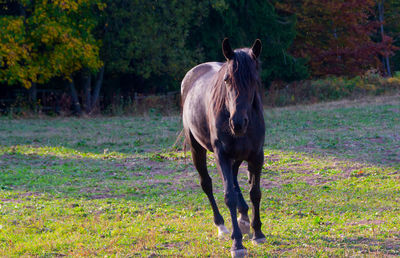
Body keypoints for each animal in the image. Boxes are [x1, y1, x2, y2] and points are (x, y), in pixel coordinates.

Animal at [181, 38, 266, 258]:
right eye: (227, 80)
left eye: (254, 80)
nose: (237, 123)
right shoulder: (222, 155)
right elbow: (229, 196)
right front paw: (237, 243)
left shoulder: (257, 155)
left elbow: (255, 192)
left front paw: (257, 232)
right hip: (197, 150)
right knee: (207, 184)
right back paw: (221, 225)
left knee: (235, 179)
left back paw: (243, 217)